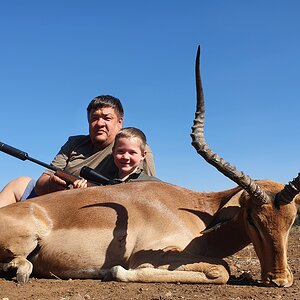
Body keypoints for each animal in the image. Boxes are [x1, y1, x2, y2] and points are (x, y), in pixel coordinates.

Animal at [0, 45, 298, 288]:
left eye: (292, 218)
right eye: (252, 218)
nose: (279, 280)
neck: (195, 211)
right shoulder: (148, 254)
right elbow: (221, 269)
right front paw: (113, 271)